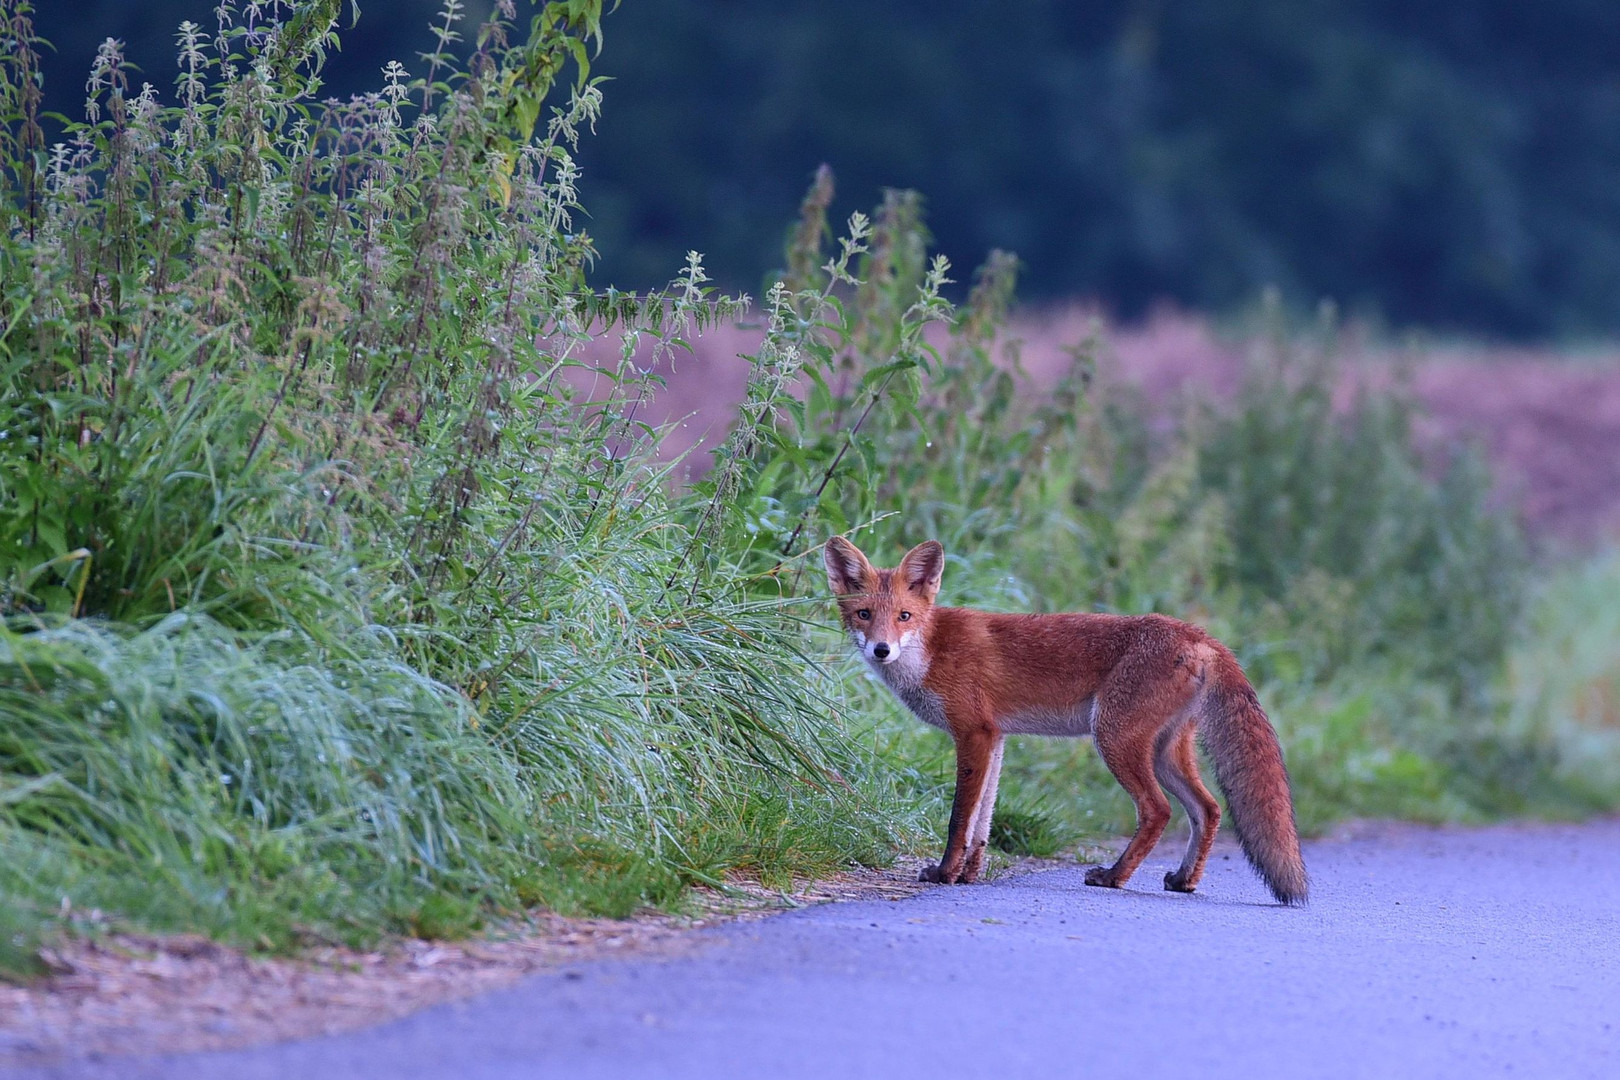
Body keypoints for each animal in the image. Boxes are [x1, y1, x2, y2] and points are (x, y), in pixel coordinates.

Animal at [829, 537, 1308, 906]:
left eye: (904, 617)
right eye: (864, 615)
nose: (881, 650)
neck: (930, 650)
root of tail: (1199, 635)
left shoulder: (972, 733)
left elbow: (959, 818)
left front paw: (946, 874)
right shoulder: (995, 737)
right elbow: (983, 821)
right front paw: (970, 874)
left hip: (1114, 738)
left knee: (1158, 810)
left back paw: (1114, 877)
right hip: (1165, 751)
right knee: (1207, 809)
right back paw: (1183, 880)